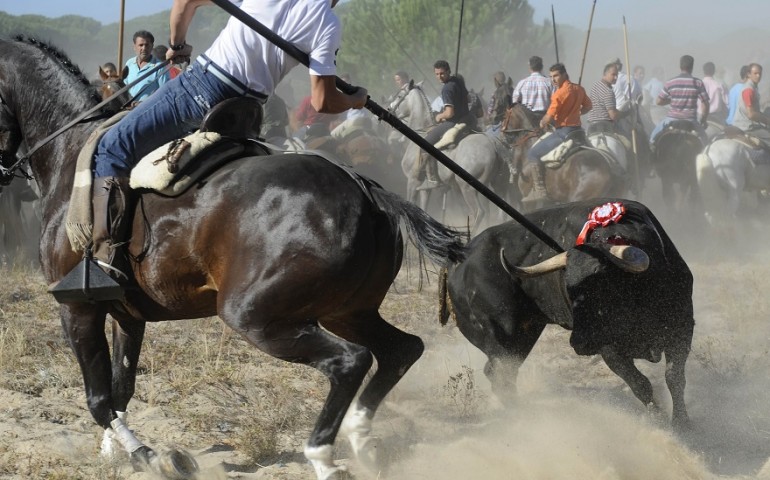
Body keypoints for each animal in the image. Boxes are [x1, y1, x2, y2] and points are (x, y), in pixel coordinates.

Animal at [0, 35, 462, 478]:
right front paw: (115, 451)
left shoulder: (77, 309)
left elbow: (98, 400)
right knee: (402, 349)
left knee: (350, 361)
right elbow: (120, 389)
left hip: (256, 315)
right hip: (346, 309)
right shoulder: (126, 314)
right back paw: (361, 439)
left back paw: (324, 456)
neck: (70, 153)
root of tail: (364, 190)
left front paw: (149, 456)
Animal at [392, 83, 512, 232]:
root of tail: (493, 143)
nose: (390, 108)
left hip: (468, 188)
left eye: (399, 96)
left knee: (479, 212)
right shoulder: (425, 188)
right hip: (499, 185)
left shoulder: (413, 181)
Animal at [440, 197, 692, 430]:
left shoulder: (682, 329)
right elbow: (641, 385)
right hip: (501, 339)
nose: (578, 342)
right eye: (568, 289)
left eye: (603, 284)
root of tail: (455, 262)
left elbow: (674, 378)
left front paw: (683, 424)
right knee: (501, 377)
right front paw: (662, 424)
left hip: (523, 337)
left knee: (499, 374)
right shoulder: (608, 348)